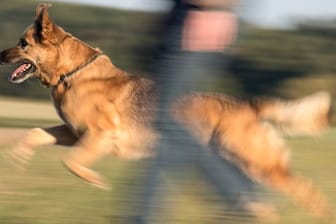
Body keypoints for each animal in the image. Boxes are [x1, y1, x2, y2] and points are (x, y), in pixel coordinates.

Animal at [0, 2, 334, 220]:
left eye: (23, 43)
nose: (0, 55)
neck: (72, 74)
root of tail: (249, 105)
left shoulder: (99, 136)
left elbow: (71, 163)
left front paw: (96, 181)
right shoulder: (73, 133)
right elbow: (35, 133)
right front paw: (19, 156)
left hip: (259, 162)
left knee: (307, 191)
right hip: (232, 159)